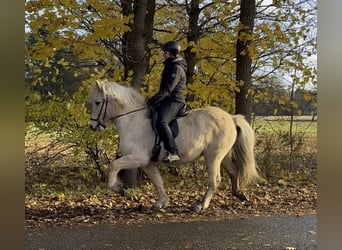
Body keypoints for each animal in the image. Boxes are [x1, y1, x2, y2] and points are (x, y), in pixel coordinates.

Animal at [88, 80, 260, 211]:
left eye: (97, 102)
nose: (92, 126)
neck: (133, 120)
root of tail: (231, 117)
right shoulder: (147, 162)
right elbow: (157, 181)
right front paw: (161, 203)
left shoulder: (137, 158)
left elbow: (113, 166)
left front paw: (119, 189)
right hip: (221, 156)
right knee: (233, 171)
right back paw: (239, 194)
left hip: (213, 156)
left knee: (215, 180)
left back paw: (201, 205)